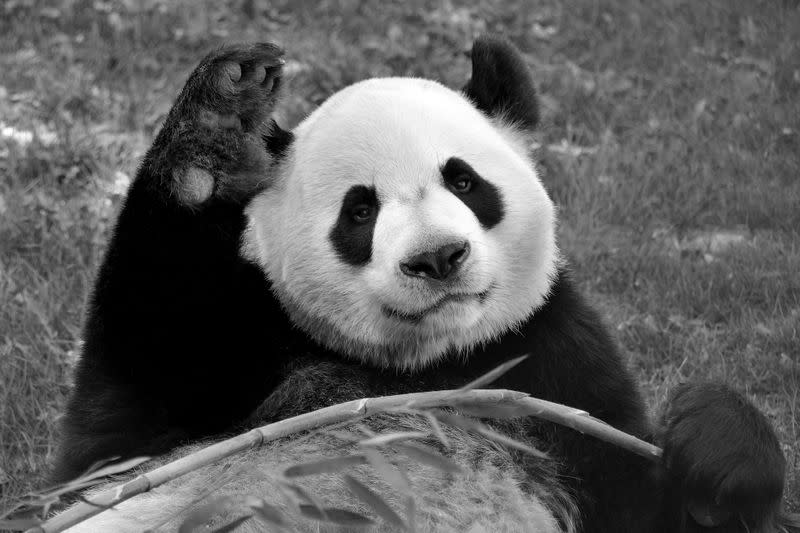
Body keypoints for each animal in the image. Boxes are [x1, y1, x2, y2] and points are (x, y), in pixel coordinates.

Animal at [51, 38, 788, 532]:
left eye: (464, 180)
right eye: (360, 210)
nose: (438, 258)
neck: (433, 364)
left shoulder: (555, 360)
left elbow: (641, 501)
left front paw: (717, 450)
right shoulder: (243, 340)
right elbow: (110, 445)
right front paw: (214, 131)